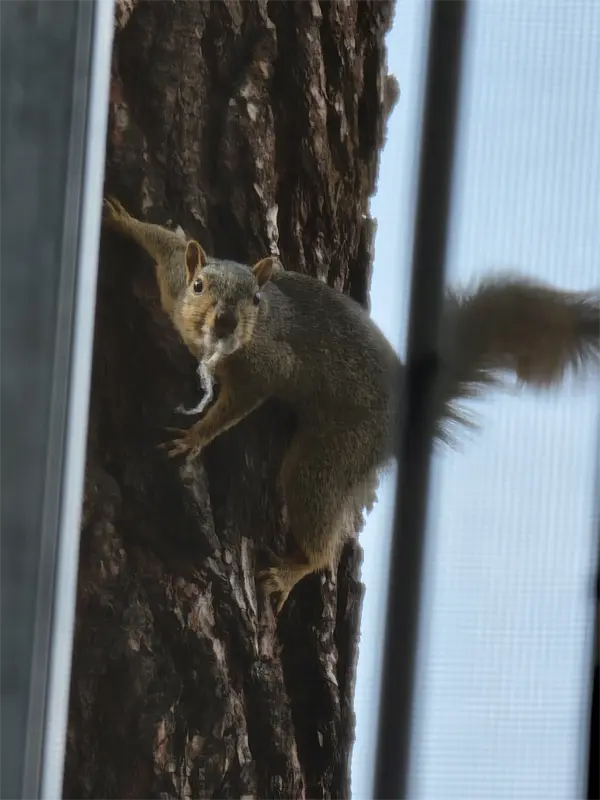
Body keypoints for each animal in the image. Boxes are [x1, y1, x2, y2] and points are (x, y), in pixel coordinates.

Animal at [103, 198, 600, 612]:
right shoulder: (172, 280)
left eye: (256, 300)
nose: (225, 321)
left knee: (322, 535)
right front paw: (119, 217)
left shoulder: (265, 366)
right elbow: (166, 244)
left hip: (332, 455)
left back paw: (290, 573)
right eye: (199, 286)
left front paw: (195, 437)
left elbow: (237, 404)